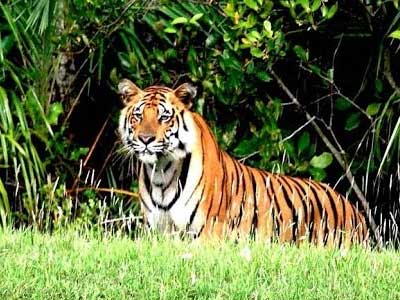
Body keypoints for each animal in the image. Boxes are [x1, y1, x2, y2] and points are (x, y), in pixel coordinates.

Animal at [118, 78, 368, 247]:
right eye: (138, 116)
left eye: (164, 117)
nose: (146, 139)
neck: (162, 172)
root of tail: (356, 211)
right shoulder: (156, 234)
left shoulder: (208, 235)